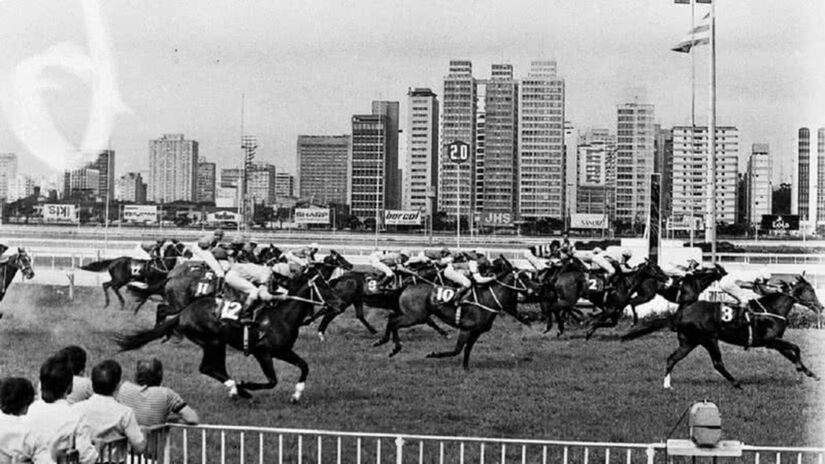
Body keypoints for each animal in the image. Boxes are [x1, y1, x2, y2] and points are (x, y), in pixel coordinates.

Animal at [114, 268, 342, 398]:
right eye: (323, 286)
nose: (339, 303)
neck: (281, 317)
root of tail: (184, 313)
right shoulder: (263, 352)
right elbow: (272, 381)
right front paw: (248, 383)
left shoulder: (283, 351)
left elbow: (304, 366)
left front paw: (297, 394)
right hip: (211, 341)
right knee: (207, 367)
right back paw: (238, 388)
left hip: (218, 343)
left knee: (216, 368)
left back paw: (238, 390)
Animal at [374, 260, 536, 370]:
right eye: (525, 278)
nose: (537, 288)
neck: (488, 299)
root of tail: (407, 286)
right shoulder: (466, 329)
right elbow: (456, 350)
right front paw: (433, 354)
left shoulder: (476, 332)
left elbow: (467, 349)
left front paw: (466, 368)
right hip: (415, 317)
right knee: (394, 322)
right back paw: (390, 345)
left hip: (412, 314)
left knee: (392, 318)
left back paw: (388, 343)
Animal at [620, 274, 820, 390]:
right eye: (810, 290)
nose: (821, 306)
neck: (772, 309)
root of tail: (682, 312)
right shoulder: (769, 341)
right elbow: (796, 347)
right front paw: (802, 368)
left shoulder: (775, 342)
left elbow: (792, 353)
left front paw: (812, 373)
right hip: (710, 339)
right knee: (717, 363)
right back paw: (737, 384)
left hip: (689, 342)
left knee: (672, 359)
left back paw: (667, 385)